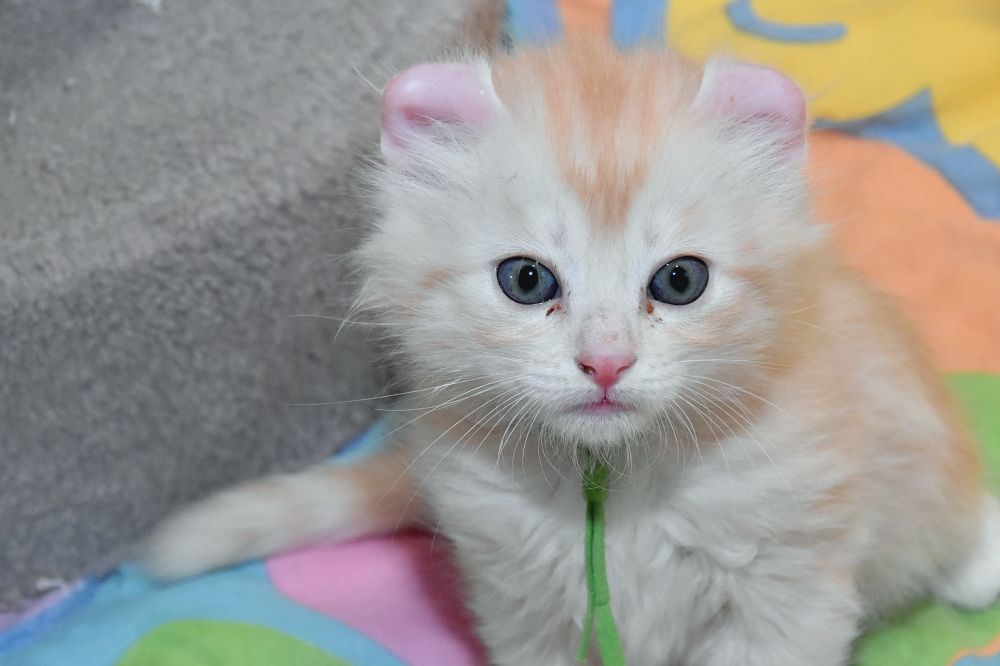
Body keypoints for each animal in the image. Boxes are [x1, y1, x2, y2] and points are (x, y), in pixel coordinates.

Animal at [143, 40, 1000, 665]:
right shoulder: (521, 599)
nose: (606, 363)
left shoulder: (786, 587)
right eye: (526, 280)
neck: (611, 483)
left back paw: (975, 561)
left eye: (680, 281)